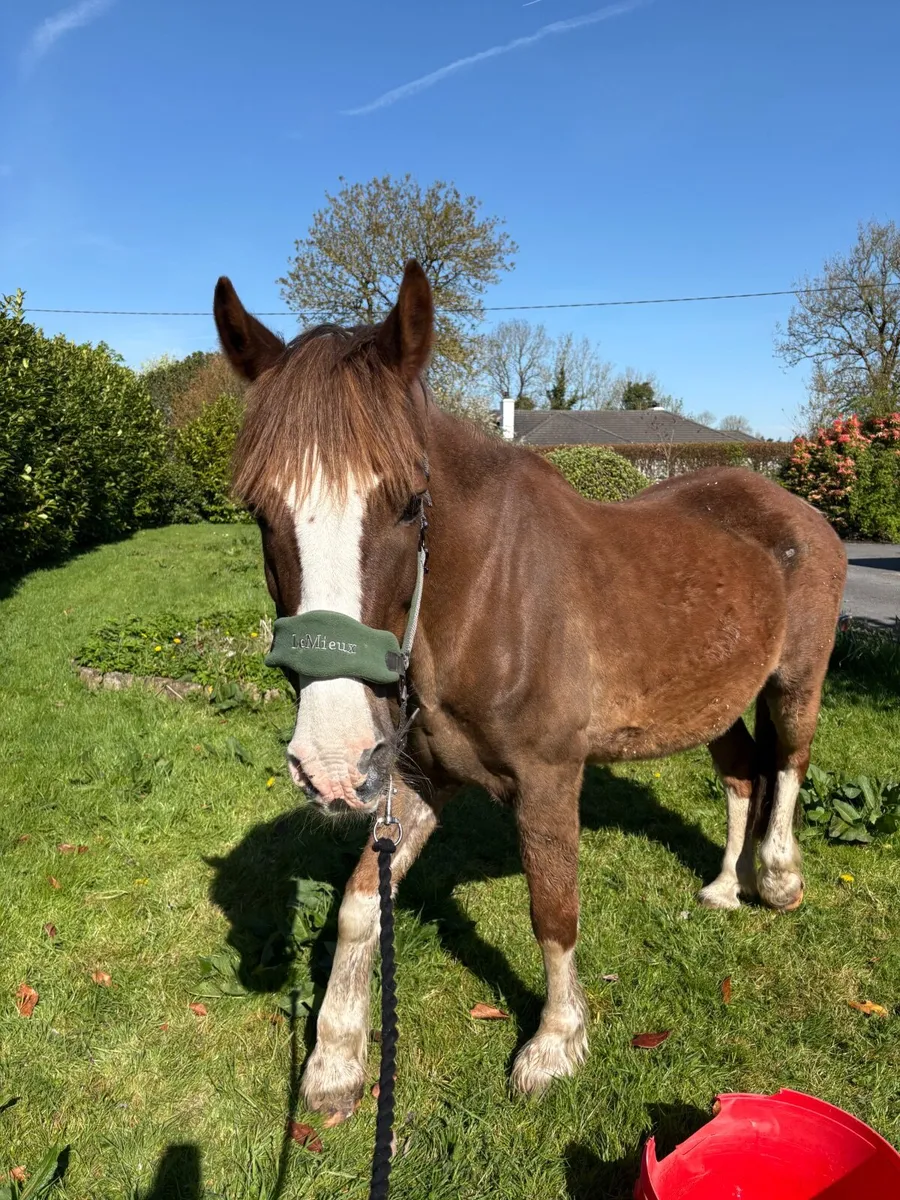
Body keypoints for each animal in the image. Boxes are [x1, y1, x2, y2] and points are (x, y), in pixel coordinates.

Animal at [213, 260, 846, 1117]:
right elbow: (356, 905)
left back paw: (778, 880)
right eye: (258, 510)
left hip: (796, 677)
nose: (332, 764)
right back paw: (723, 887)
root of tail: (797, 509)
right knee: (744, 770)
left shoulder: (548, 780)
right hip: (712, 699)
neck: (485, 598)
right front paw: (335, 1061)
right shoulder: (414, 780)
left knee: (790, 760)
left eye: (409, 504)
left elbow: (553, 909)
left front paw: (555, 1043)